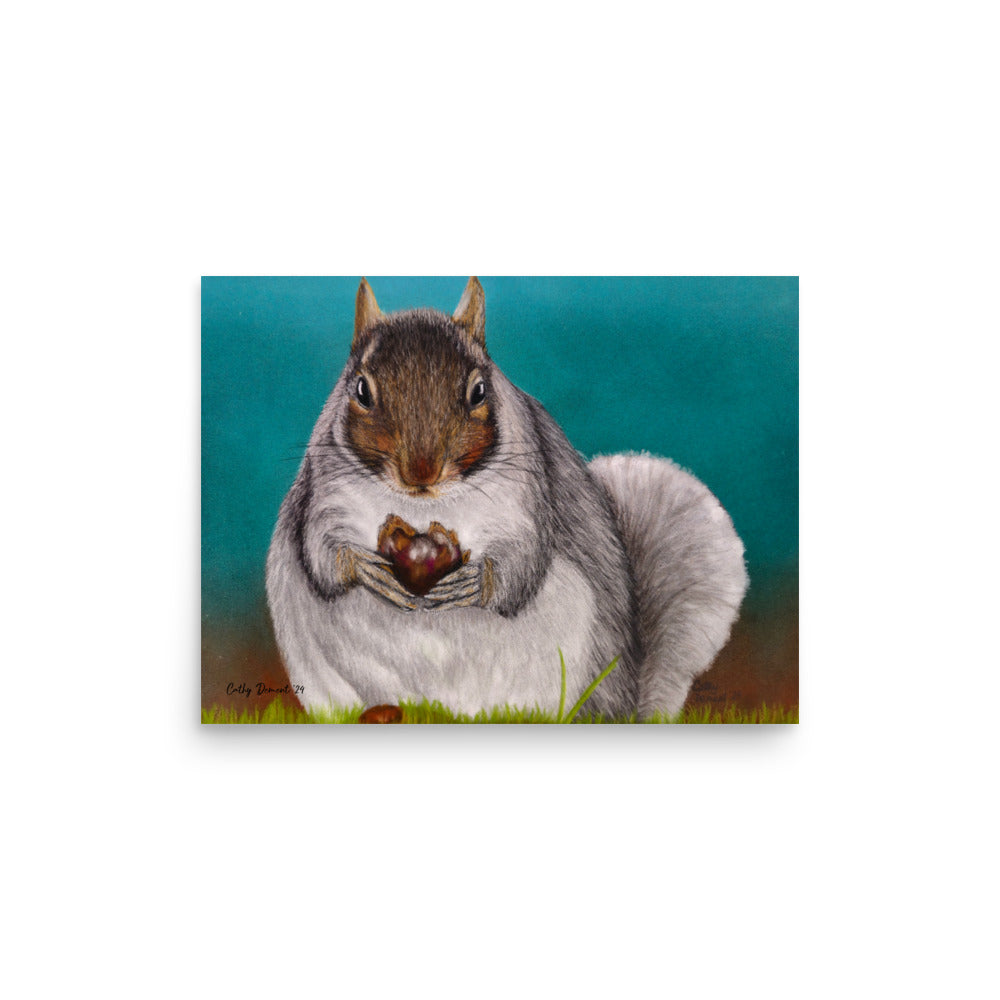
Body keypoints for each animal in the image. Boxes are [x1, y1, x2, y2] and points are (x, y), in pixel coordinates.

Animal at [265, 277, 748, 720]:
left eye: (479, 391)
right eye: (361, 390)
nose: (421, 472)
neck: (423, 506)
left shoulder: (528, 500)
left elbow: (524, 562)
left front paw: (476, 582)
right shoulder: (326, 494)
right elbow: (321, 553)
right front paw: (365, 568)